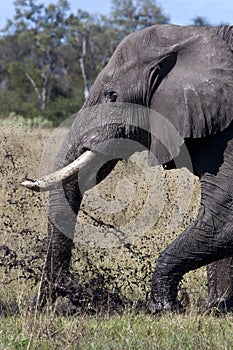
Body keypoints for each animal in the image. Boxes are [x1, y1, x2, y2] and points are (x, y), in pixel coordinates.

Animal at [22, 24, 233, 314]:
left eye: (112, 97)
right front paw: (217, 308)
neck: (192, 35)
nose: (35, 303)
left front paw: (163, 308)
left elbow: (223, 217)